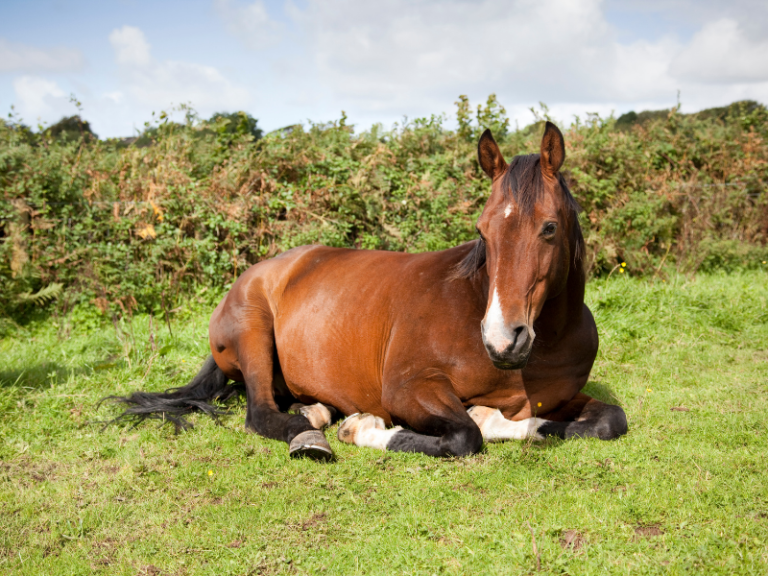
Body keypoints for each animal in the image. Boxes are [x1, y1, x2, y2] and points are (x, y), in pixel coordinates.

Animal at [105, 124, 628, 462]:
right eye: (482, 230)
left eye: (549, 228)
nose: (502, 339)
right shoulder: (408, 388)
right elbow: (464, 437)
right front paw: (365, 429)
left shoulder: (559, 401)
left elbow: (608, 422)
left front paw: (495, 417)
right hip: (253, 334)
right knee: (261, 413)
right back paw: (309, 435)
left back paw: (315, 409)